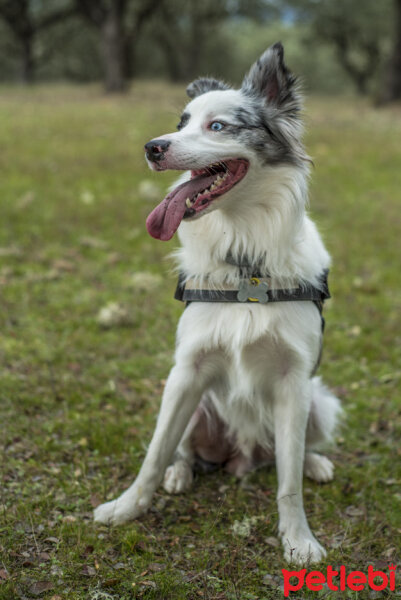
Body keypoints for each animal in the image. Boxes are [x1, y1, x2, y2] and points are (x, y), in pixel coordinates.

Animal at [94, 44, 340, 564]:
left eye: (219, 126)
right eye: (182, 122)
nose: (152, 147)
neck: (245, 259)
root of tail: (241, 456)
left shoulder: (294, 380)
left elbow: (288, 481)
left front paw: (299, 539)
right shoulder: (186, 370)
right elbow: (154, 452)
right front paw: (127, 507)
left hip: (320, 402)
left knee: (291, 453)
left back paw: (316, 462)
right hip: (192, 403)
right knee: (183, 451)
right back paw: (180, 474)